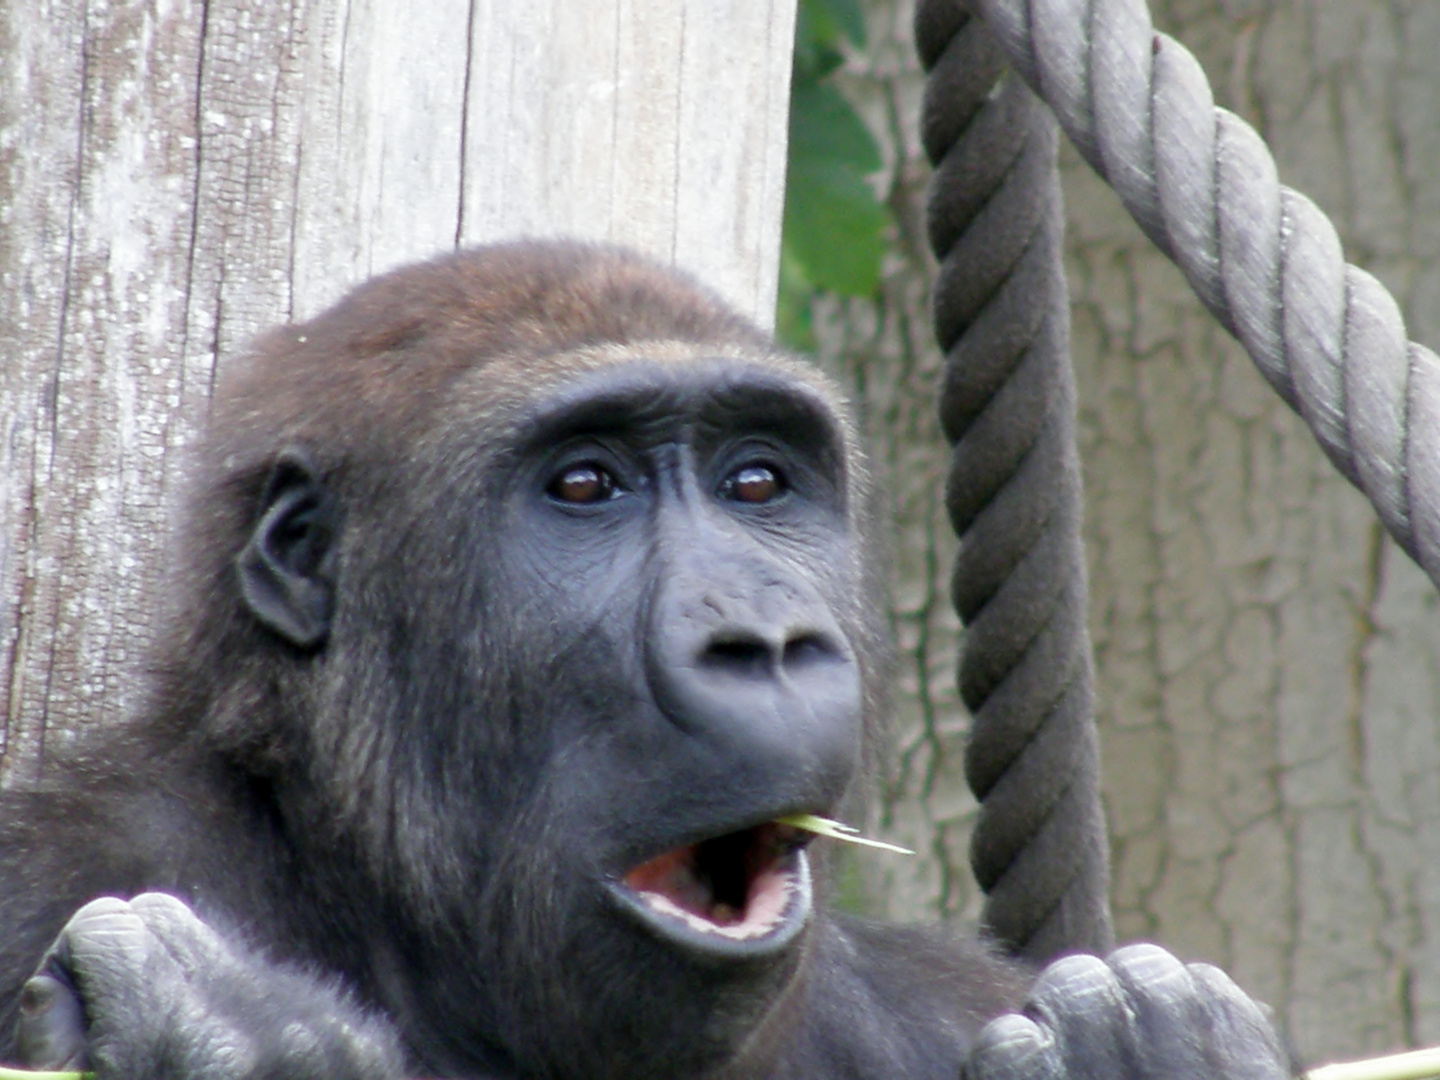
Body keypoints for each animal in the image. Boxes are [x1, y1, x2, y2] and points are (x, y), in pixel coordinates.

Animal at [0, 244, 1284, 1080]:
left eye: (757, 482)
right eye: (585, 487)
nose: (762, 641)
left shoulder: (949, 997)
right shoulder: (67, 863)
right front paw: (243, 1043)